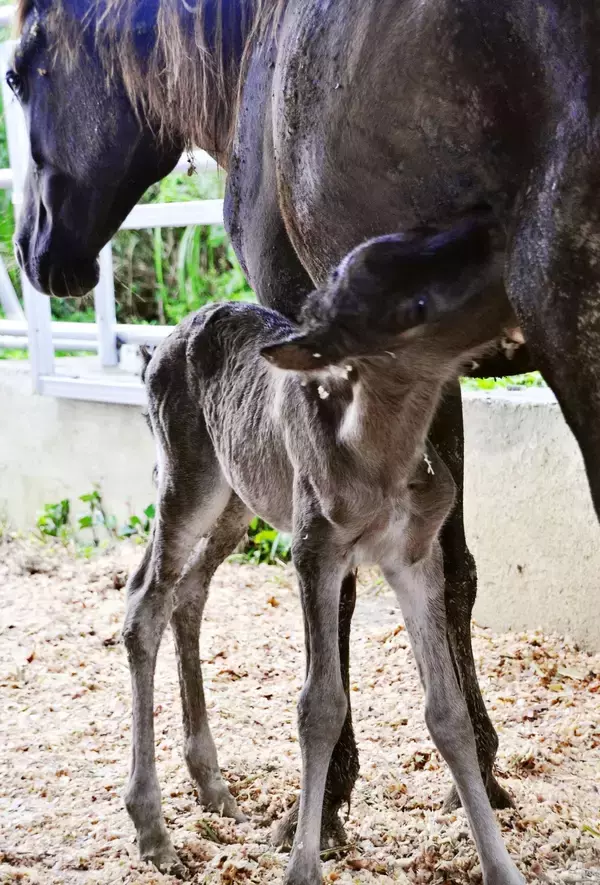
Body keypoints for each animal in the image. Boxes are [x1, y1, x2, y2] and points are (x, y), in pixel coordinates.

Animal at [7, 0, 599, 876]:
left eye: (16, 74)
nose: (35, 250)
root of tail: (157, 350)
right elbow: (436, 584)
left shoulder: (299, 303)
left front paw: (339, 804)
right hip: (205, 490)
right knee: (157, 594)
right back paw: (169, 811)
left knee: (174, 593)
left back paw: (193, 793)